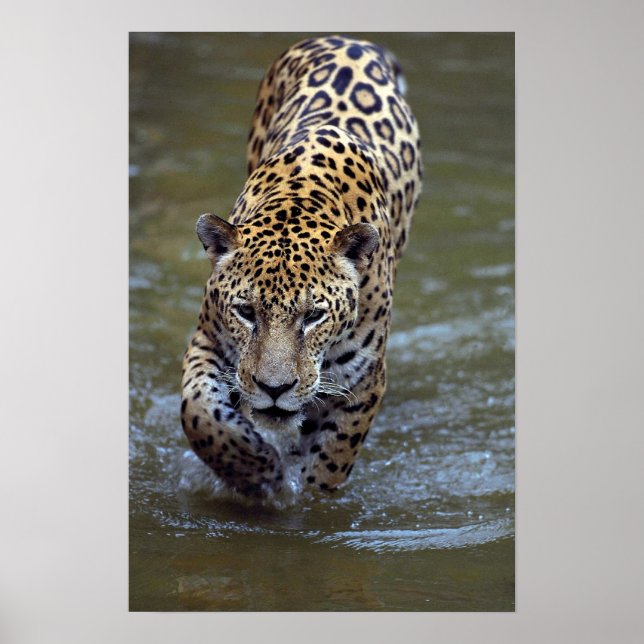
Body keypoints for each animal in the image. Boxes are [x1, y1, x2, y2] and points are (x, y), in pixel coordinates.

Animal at [180, 35, 422, 498]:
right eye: (246, 312)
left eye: (313, 317)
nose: (274, 389)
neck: (299, 201)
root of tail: (350, 41)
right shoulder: (208, 338)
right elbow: (198, 411)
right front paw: (254, 470)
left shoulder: (363, 381)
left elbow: (330, 464)